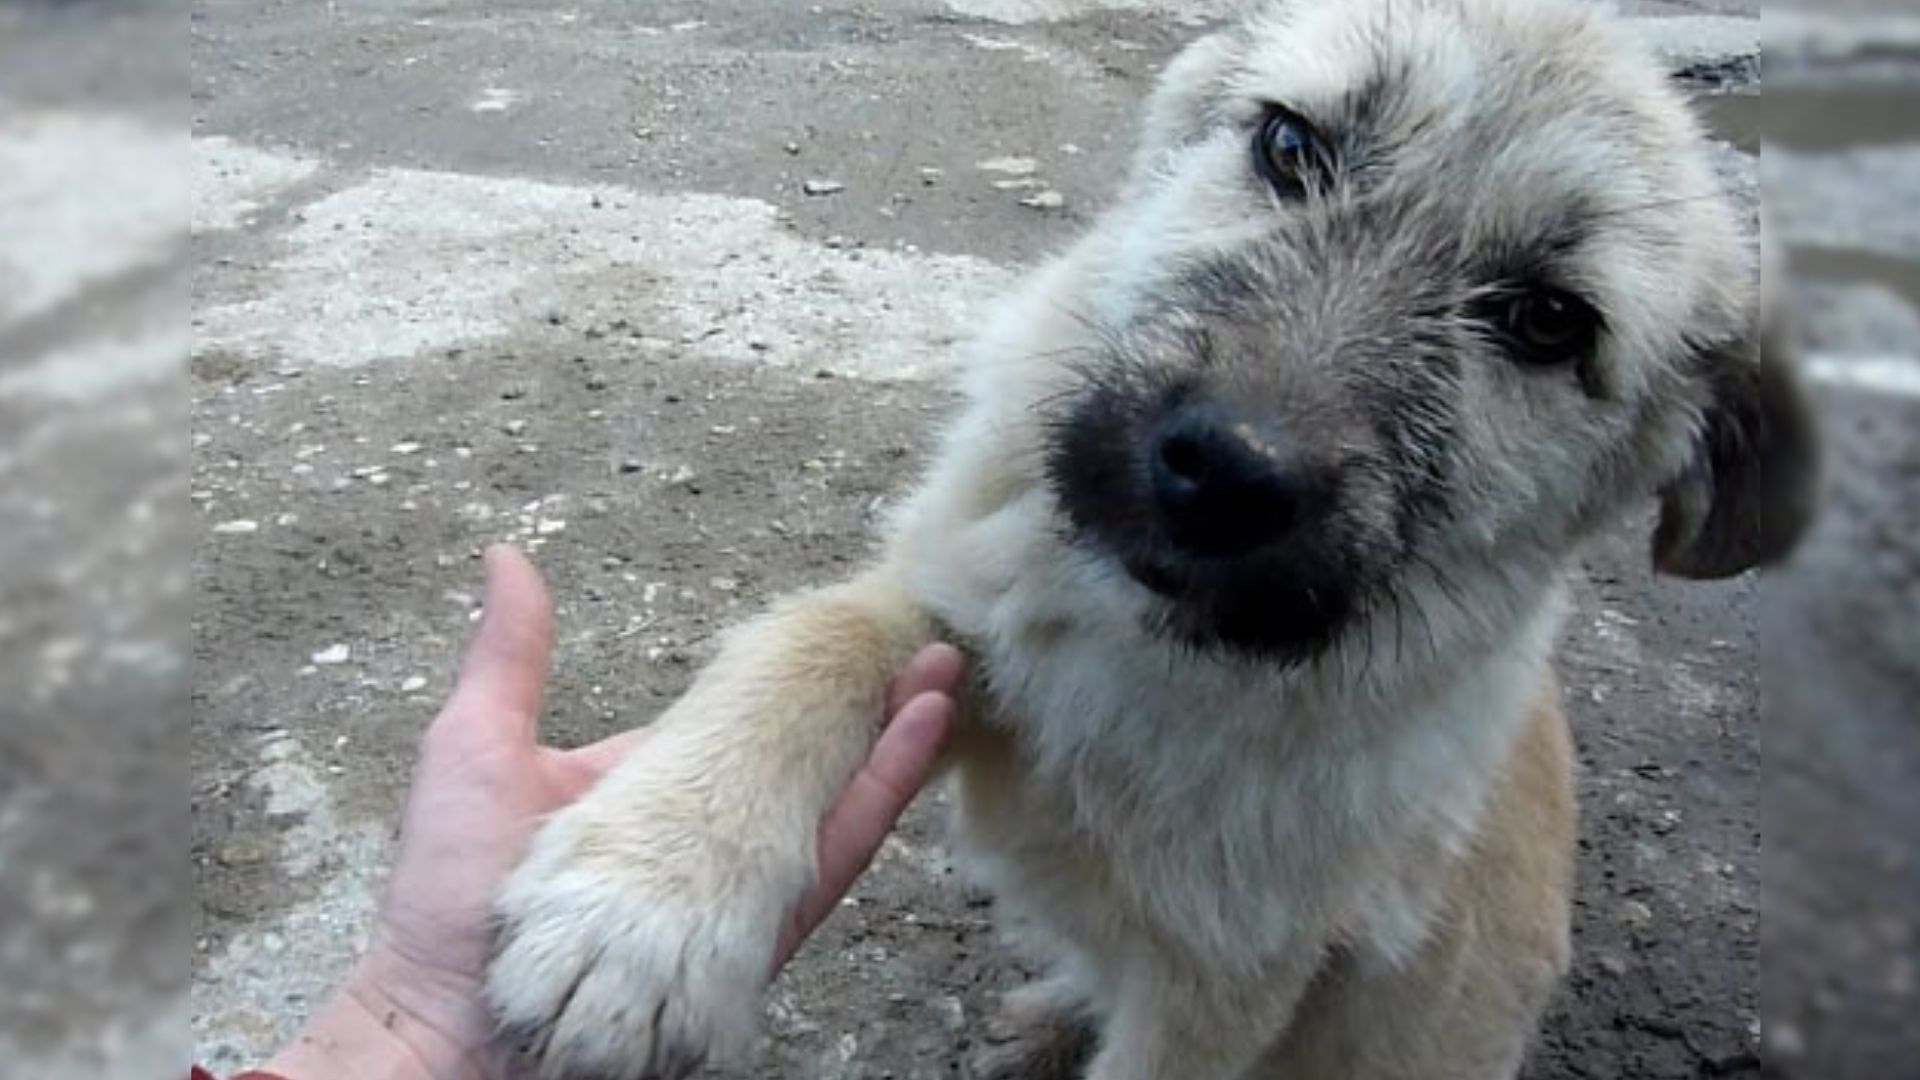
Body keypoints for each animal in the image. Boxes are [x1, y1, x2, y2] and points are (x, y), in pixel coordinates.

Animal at [487, 2, 1804, 1076]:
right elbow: (811, 637)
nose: (1224, 473)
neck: (1155, 656)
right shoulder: (963, 610)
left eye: (1546, 323)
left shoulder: (1226, 988)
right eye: (1290, 147)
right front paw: (643, 907)